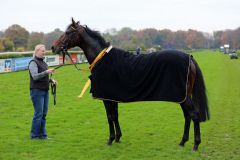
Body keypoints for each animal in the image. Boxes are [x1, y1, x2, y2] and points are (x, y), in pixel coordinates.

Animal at [51, 18, 209, 151]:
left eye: (68, 32)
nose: (53, 47)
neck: (102, 58)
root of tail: (189, 57)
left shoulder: (106, 98)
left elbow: (109, 117)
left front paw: (110, 139)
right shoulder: (112, 97)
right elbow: (115, 115)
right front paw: (118, 138)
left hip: (183, 97)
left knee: (194, 115)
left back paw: (195, 145)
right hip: (182, 96)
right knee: (187, 116)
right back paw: (182, 142)